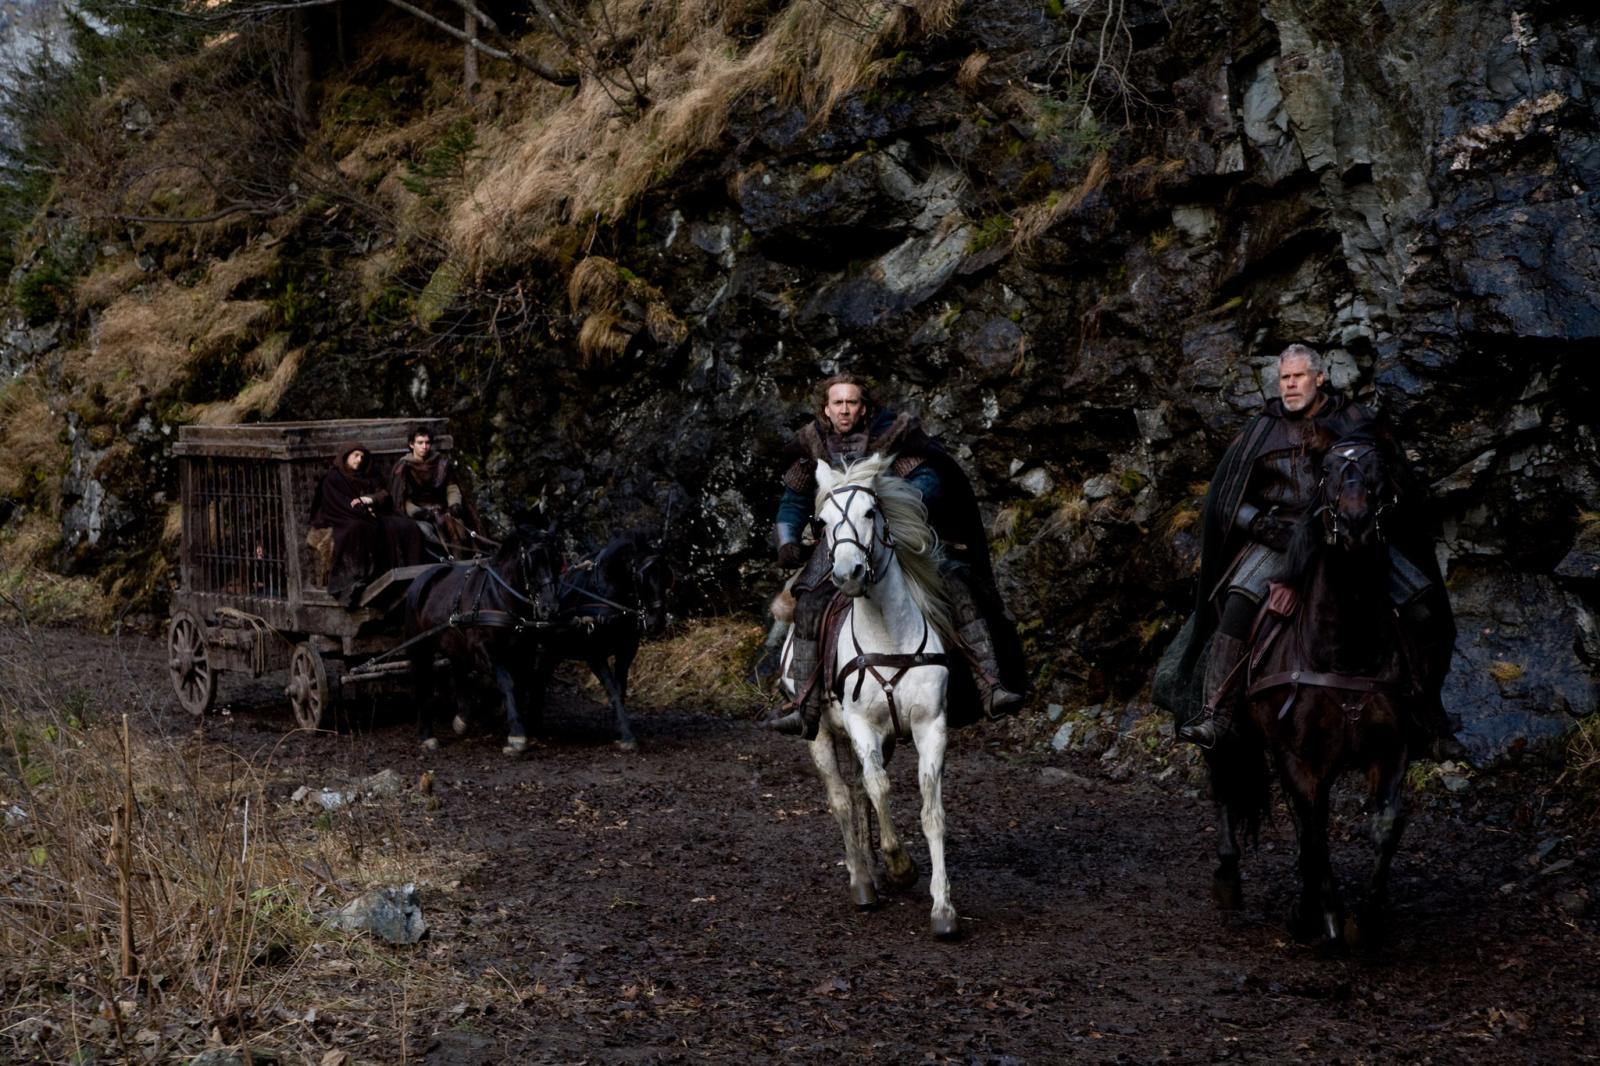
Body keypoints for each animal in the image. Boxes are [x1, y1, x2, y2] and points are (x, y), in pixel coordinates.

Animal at [402, 526, 564, 754]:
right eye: (532, 559)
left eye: (557, 559)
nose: (550, 608)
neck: (501, 597)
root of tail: (420, 579)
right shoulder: (485, 649)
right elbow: (507, 682)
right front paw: (517, 735)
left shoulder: (526, 650)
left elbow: (522, 684)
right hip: (419, 647)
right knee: (422, 681)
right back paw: (427, 735)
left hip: (454, 642)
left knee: (458, 671)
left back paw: (462, 720)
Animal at [519, 530, 672, 750]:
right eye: (641, 577)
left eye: (667, 575)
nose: (656, 622)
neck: (606, 597)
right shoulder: (595, 655)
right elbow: (613, 691)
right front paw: (627, 736)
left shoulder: (626, 652)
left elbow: (620, 691)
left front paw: (620, 729)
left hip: (554, 650)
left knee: (541, 678)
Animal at [782, 454, 959, 940]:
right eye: (822, 521)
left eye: (869, 511)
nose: (848, 575)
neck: (887, 635)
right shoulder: (861, 726)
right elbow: (879, 788)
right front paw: (900, 866)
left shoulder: (930, 727)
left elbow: (931, 810)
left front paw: (943, 908)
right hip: (821, 735)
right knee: (844, 798)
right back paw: (862, 879)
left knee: (859, 791)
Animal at [1207, 436, 1417, 951]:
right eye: (1327, 471)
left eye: (1378, 466)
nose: (1357, 523)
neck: (1345, 652)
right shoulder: (1299, 761)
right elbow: (1315, 834)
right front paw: (1321, 916)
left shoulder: (1391, 751)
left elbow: (1385, 826)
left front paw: (1365, 918)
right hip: (1233, 730)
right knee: (1225, 776)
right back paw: (1229, 876)